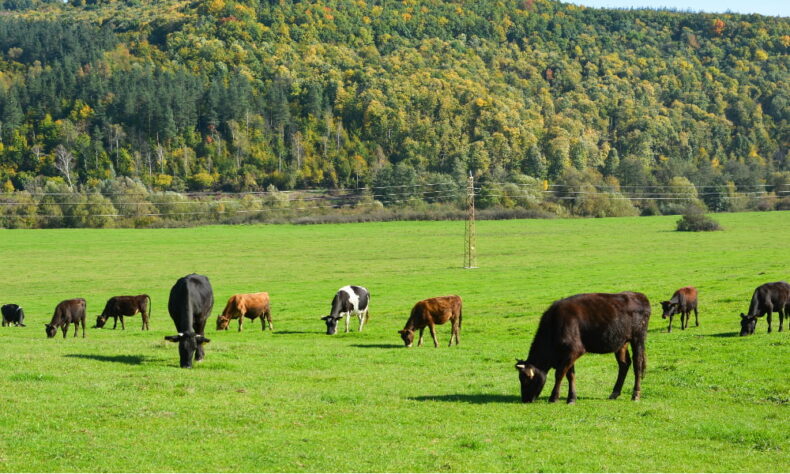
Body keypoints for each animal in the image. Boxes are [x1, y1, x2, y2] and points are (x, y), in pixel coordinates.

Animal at [516, 292, 652, 404]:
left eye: (526, 379)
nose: (525, 400)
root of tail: (640, 296)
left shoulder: (575, 350)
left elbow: (559, 373)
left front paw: (553, 397)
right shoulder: (568, 354)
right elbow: (570, 375)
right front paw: (571, 398)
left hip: (638, 338)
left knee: (637, 364)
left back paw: (635, 395)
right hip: (621, 343)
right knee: (624, 364)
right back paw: (614, 393)